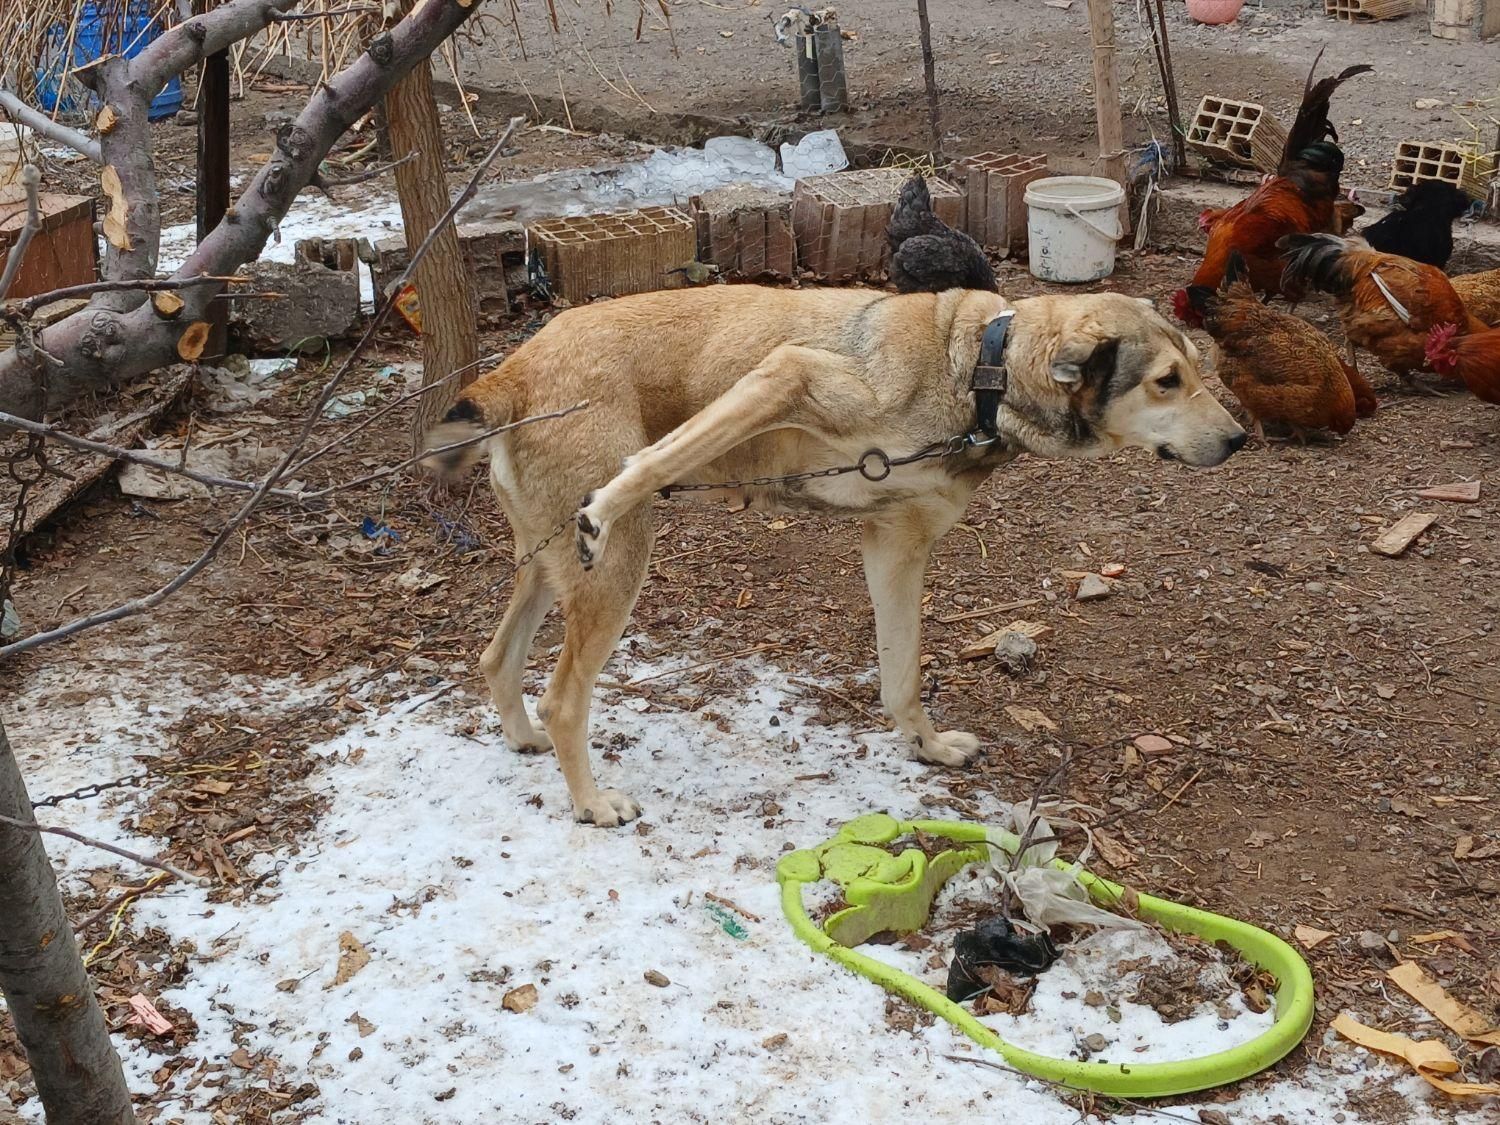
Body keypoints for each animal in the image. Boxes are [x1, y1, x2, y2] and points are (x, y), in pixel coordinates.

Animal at [429, 282, 1248, 828]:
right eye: (1166, 380)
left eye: (1197, 368)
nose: (1241, 439)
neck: (975, 366)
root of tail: (512, 370)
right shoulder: (785, 372)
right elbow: (662, 457)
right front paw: (611, 495)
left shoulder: (897, 547)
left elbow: (901, 676)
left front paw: (925, 748)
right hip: (612, 573)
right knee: (564, 696)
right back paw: (592, 801)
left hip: (546, 569)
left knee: (497, 659)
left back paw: (525, 739)